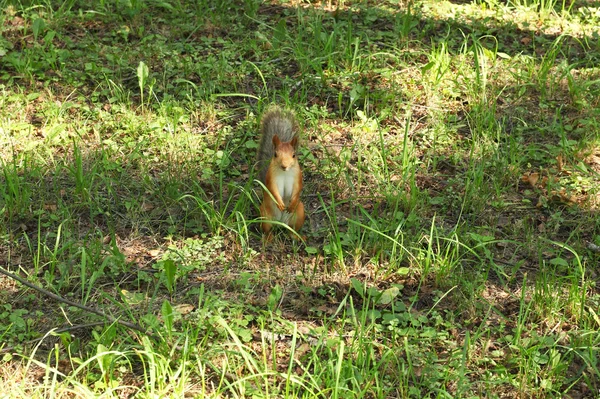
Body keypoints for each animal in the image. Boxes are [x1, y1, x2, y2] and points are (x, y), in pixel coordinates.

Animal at [256, 107, 308, 241]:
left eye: (294, 155)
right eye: (275, 154)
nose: (284, 165)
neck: (285, 173)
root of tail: (280, 222)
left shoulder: (298, 177)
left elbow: (298, 188)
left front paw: (290, 204)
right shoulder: (271, 178)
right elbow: (273, 189)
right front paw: (279, 203)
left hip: (299, 213)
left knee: (291, 230)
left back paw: (298, 237)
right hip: (265, 215)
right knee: (267, 229)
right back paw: (268, 238)